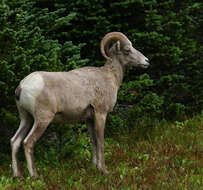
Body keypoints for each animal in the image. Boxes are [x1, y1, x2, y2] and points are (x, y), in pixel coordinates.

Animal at [10, 31, 149, 177]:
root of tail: (22, 86)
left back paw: (17, 176)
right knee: (28, 142)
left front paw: (95, 167)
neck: (109, 77)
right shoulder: (100, 114)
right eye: (127, 50)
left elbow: (93, 141)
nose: (146, 61)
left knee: (15, 141)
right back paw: (34, 176)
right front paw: (104, 170)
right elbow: (100, 142)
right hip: (42, 120)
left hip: (26, 118)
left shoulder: (89, 119)